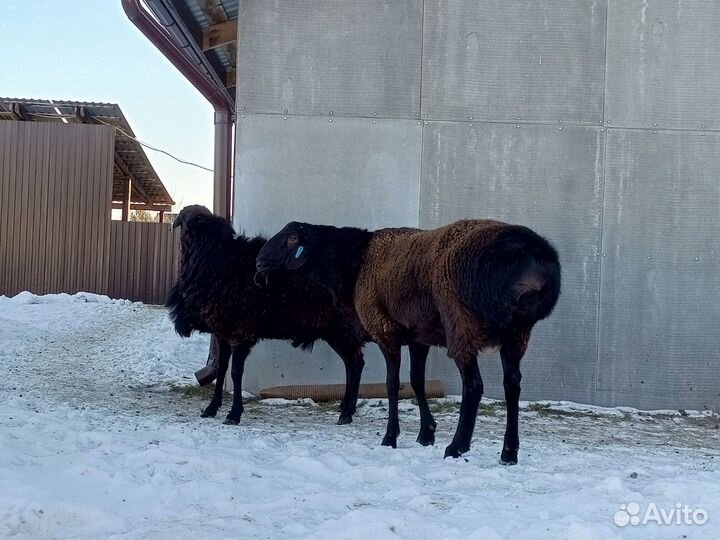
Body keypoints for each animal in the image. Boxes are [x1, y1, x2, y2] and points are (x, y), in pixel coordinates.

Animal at [165, 207, 366, 426]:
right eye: (186, 221)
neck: (215, 257)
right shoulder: (222, 332)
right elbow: (222, 370)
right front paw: (211, 408)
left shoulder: (241, 332)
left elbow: (236, 373)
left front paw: (234, 414)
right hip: (337, 332)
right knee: (351, 364)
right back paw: (345, 406)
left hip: (341, 330)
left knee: (356, 364)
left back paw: (347, 413)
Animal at [256, 219, 560, 464]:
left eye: (292, 238)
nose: (258, 262)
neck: (354, 265)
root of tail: (534, 263)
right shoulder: (418, 336)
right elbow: (416, 381)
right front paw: (426, 434)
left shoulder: (385, 331)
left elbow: (393, 384)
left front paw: (390, 437)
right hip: (517, 333)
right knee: (512, 385)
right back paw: (509, 453)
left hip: (461, 323)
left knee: (474, 386)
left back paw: (457, 447)